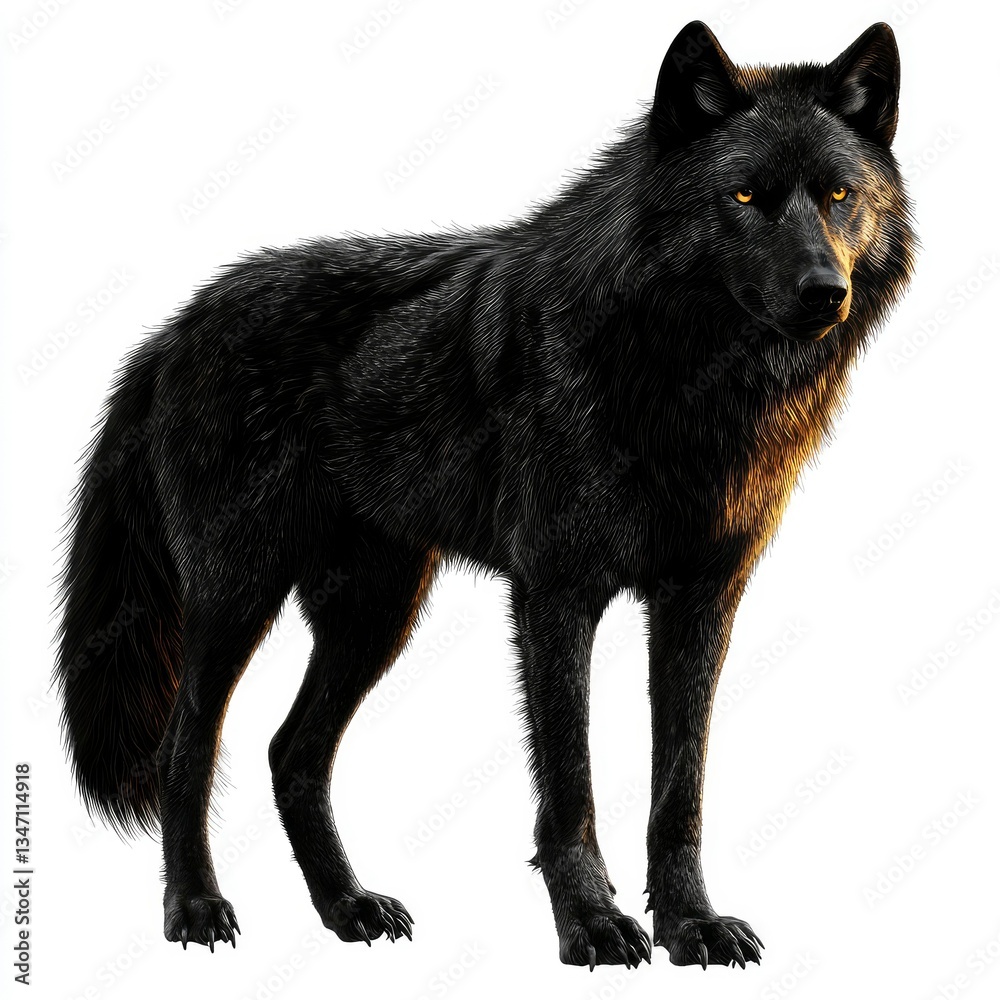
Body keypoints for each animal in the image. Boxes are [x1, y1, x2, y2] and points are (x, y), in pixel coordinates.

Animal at [55, 20, 915, 969]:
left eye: (838, 195)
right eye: (745, 195)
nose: (825, 292)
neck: (690, 384)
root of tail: (174, 327)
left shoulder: (702, 600)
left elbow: (679, 786)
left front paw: (691, 924)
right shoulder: (554, 593)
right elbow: (570, 783)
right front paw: (591, 925)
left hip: (374, 612)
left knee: (292, 753)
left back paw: (348, 908)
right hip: (238, 594)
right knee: (187, 746)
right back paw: (195, 909)